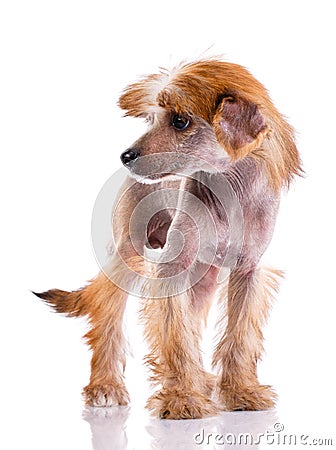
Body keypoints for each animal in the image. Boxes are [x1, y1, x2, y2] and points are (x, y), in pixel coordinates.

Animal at [34, 58, 302, 420]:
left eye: (180, 120)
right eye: (152, 119)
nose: (126, 156)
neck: (227, 191)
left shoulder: (248, 271)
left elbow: (239, 336)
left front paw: (240, 390)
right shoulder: (170, 270)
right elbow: (176, 337)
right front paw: (181, 398)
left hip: (204, 276)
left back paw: (203, 379)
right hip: (126, 258)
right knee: (107, 320)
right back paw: (106, 386)